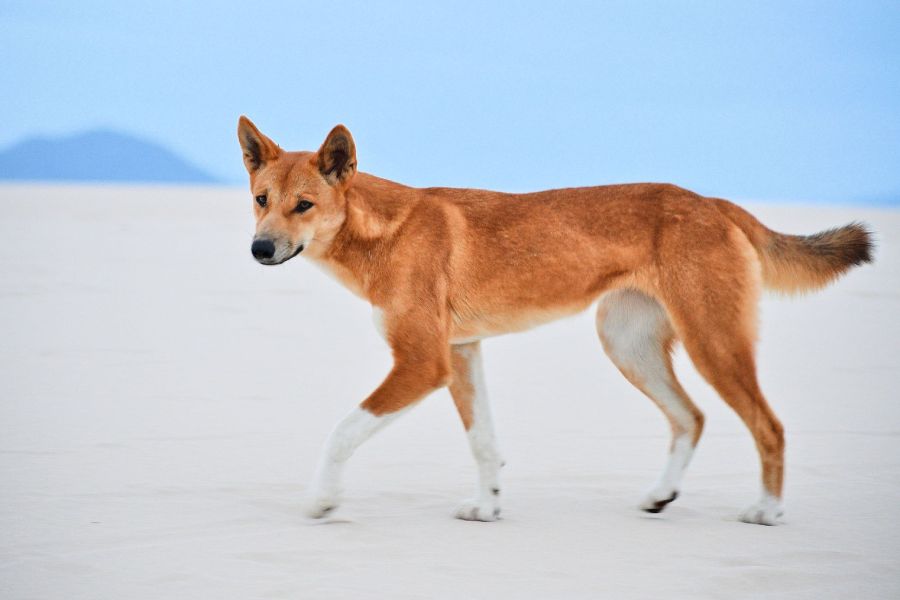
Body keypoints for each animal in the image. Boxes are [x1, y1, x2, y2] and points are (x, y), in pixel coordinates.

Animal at [236, 116, 868, 524]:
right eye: (262, 199)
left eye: (304, 205)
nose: (260, 250)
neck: (383, 232)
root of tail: (715, 202)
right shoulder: (460, 354)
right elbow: (484, 442)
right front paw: (488, 505)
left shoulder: (421, 362)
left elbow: (341, 432)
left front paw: (322, 500)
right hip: (628, 345)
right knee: (691, 417)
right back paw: (660, 496)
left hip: (712, 342)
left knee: (769, 425)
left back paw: (768, 509)